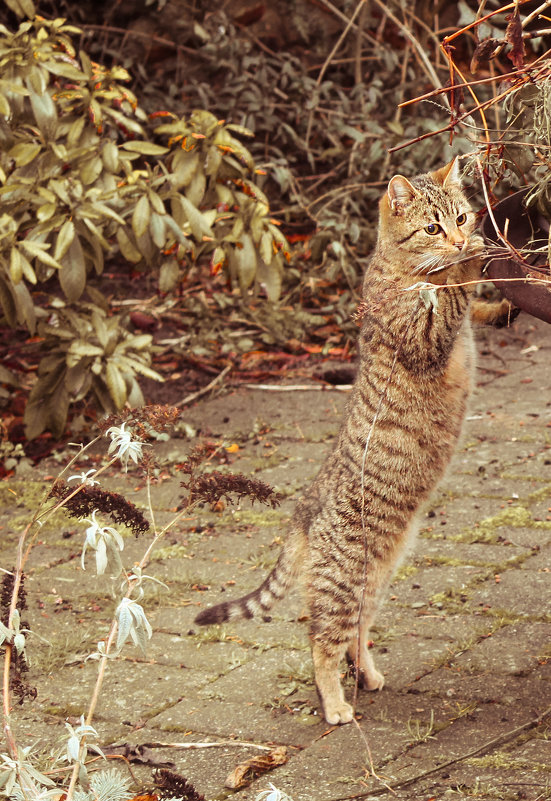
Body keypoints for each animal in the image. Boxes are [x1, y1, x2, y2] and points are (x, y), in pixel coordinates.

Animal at [194, 156, 512, 724]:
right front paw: (471, 262)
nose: (459, 237)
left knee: (354, 634)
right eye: (433, 227)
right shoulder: (423, 336)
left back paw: (367, 675)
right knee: (321, 641)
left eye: (461, 215)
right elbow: (454, 294)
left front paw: (494, 299)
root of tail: (302, 511)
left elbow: (471, 309)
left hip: (376, 577)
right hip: (345, 579)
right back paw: (336, 705)